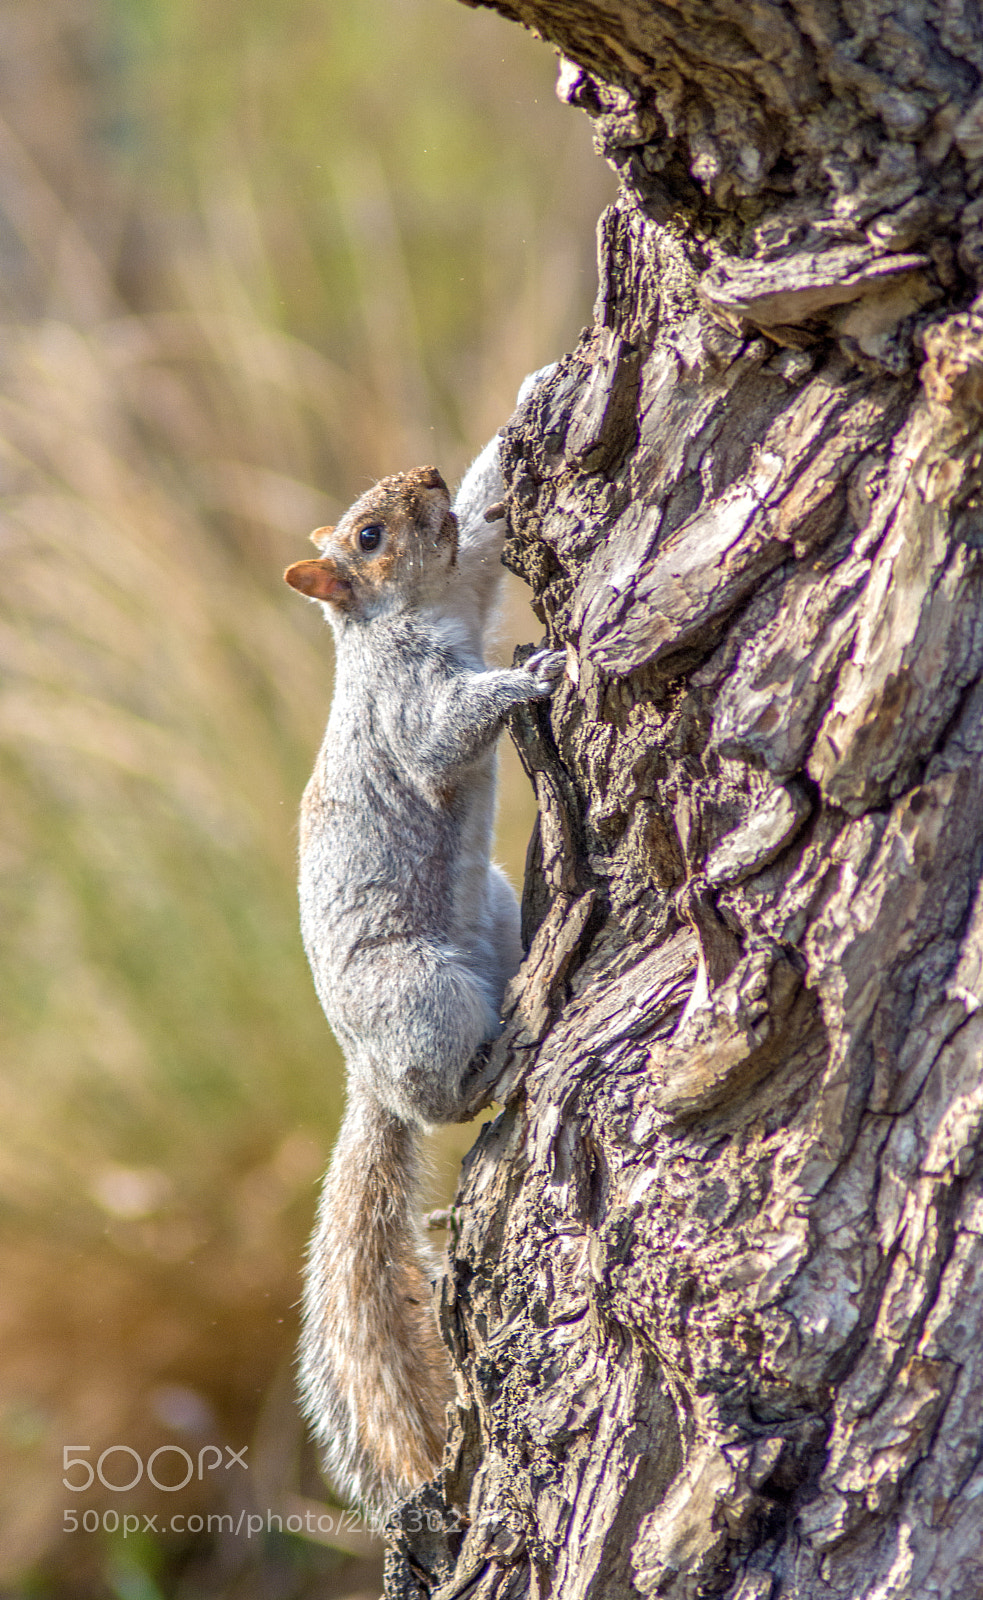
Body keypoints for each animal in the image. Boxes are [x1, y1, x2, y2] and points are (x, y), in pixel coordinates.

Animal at [283, 428, 564, 1518]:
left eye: (397, 502)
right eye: (367, 535)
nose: (425, 475)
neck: (410, 614)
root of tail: (365, 1072)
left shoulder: (471, 579)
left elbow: (484, 533)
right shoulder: (405, 708)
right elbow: (445, 735)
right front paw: (526, 683)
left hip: (491, 911)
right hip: (423, 996)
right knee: (441, 1100)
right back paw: (499, 1058)